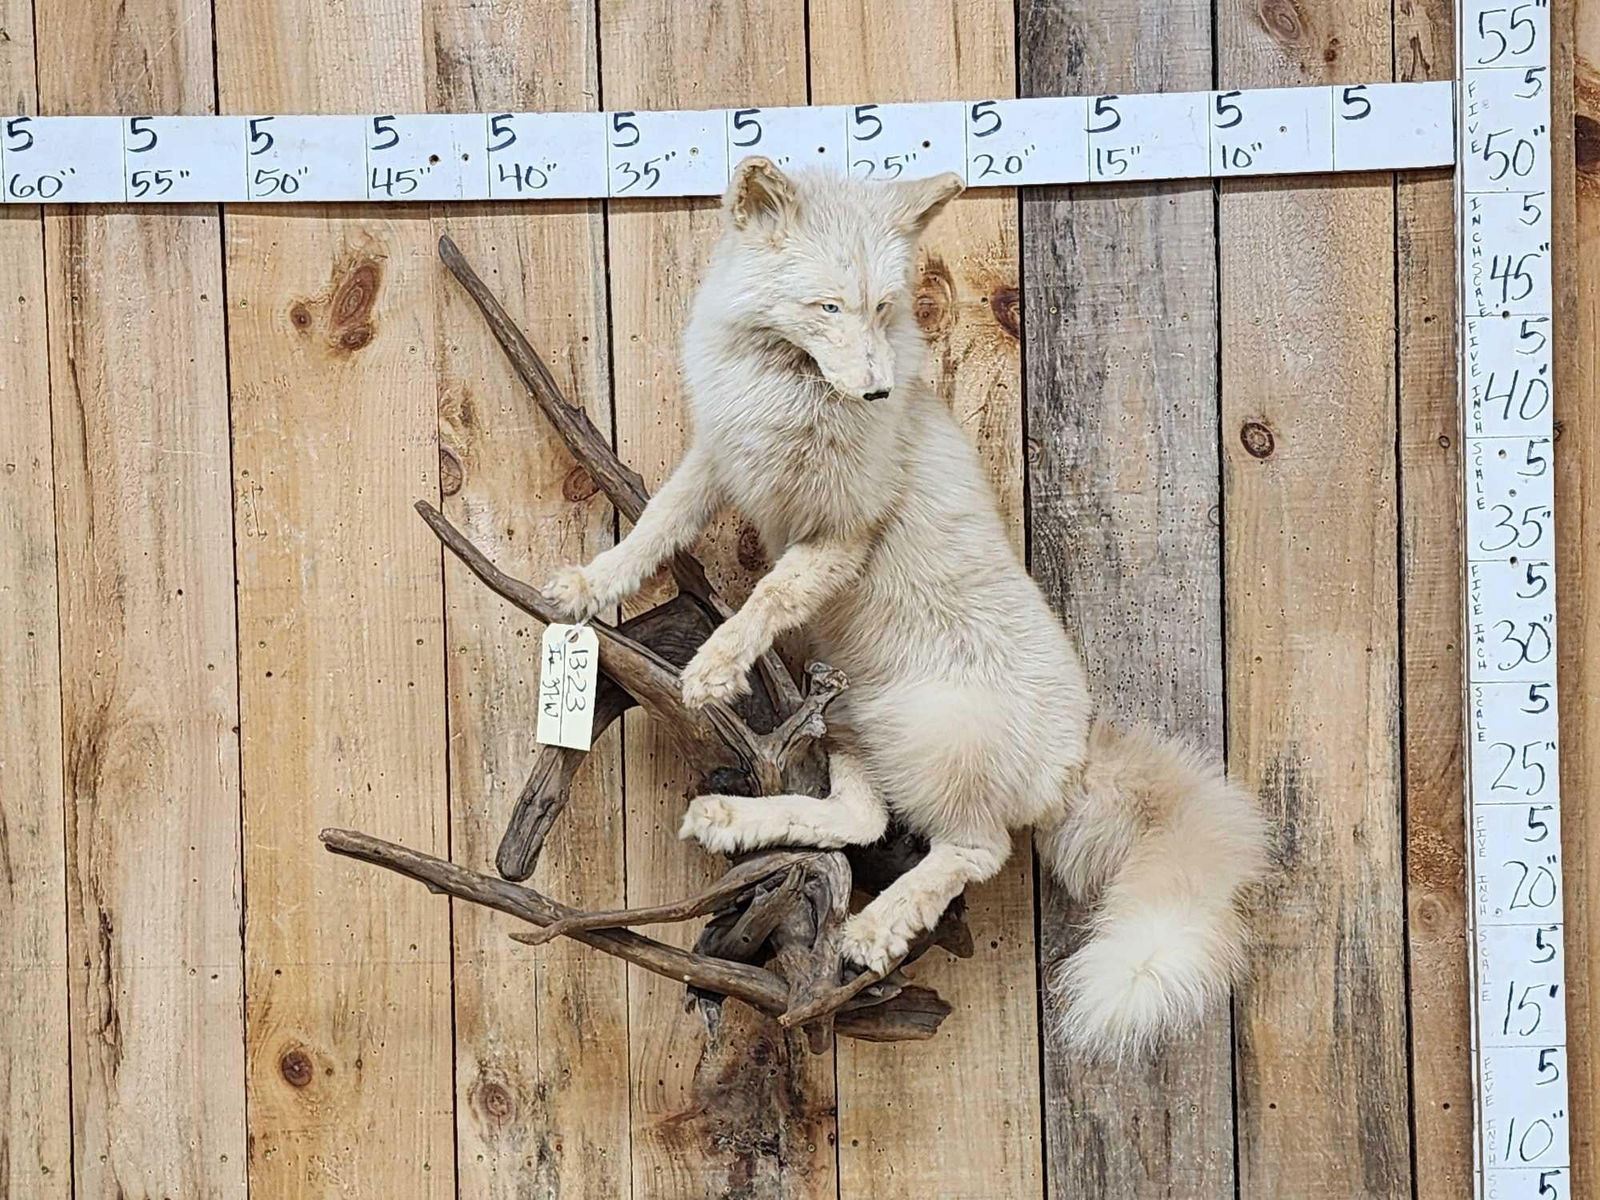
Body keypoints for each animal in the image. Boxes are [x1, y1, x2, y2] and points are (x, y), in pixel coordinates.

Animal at [544, 157, 1269, 1057]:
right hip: (858, 714)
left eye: (885, 308)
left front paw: (716, 665)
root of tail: (1074, 759)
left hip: (933, 742)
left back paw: (876, 925)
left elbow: (771, 592)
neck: (783, 387)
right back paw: (735, 821)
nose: (879, 388)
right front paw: (590, 585)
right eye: (828, 306)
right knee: (860, 821)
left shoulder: (840, 532)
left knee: (975, 849)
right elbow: (652, 530)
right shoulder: (720, 460)